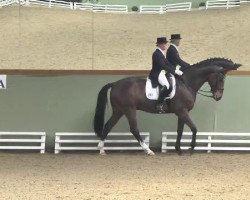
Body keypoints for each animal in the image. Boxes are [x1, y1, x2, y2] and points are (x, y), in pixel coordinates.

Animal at [93, 57, 241, 155]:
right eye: (221, 78)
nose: (218, 97)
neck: (187, 83)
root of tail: (115, 84)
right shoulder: (182, 111)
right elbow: (194, 128)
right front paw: (191, 148)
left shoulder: (182, 112)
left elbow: (180, 130)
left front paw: (178, 149)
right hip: (129, 109)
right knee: (134, 129)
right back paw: (148, 150)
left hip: (119, 110)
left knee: (108, 126)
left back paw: (101, 150)